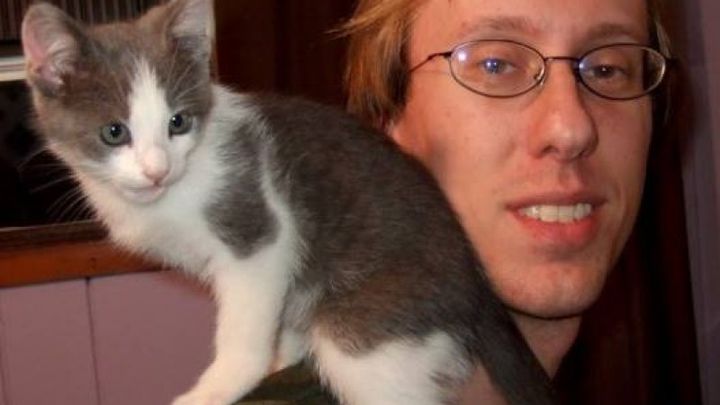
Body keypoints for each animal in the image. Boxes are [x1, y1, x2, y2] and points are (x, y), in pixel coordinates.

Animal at [21, 0, 555, 404]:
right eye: (114, 132)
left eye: (178, 122)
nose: (157, 170)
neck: (172, 194)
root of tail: (474, 279)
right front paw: (283, 353)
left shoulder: (257, 230)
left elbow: (246, 324)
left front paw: (216, 389)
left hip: (374, 330)